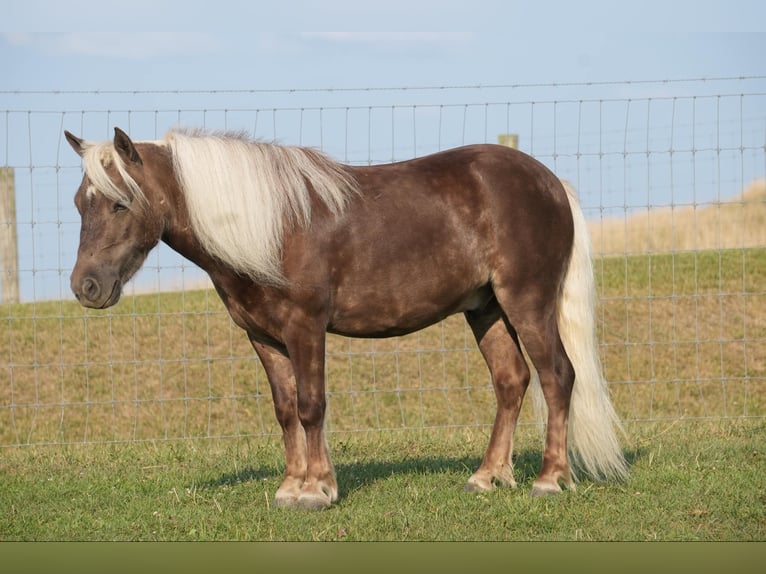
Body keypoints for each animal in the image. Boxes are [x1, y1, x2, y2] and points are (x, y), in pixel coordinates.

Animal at [64, 128, 632, 510]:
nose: (85, 287)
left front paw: (318, 489)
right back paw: (488, 476)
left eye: (120, 204)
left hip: (528, 302)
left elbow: (311, 406)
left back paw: (550, 478)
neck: (270, 227)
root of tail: (549, 180)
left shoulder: (306, 328)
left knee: (557, 376)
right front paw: (291, 486)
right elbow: (285, 410)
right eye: (78, 204)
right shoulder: (263, 338)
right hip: (486, 310)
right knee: (511, 381)